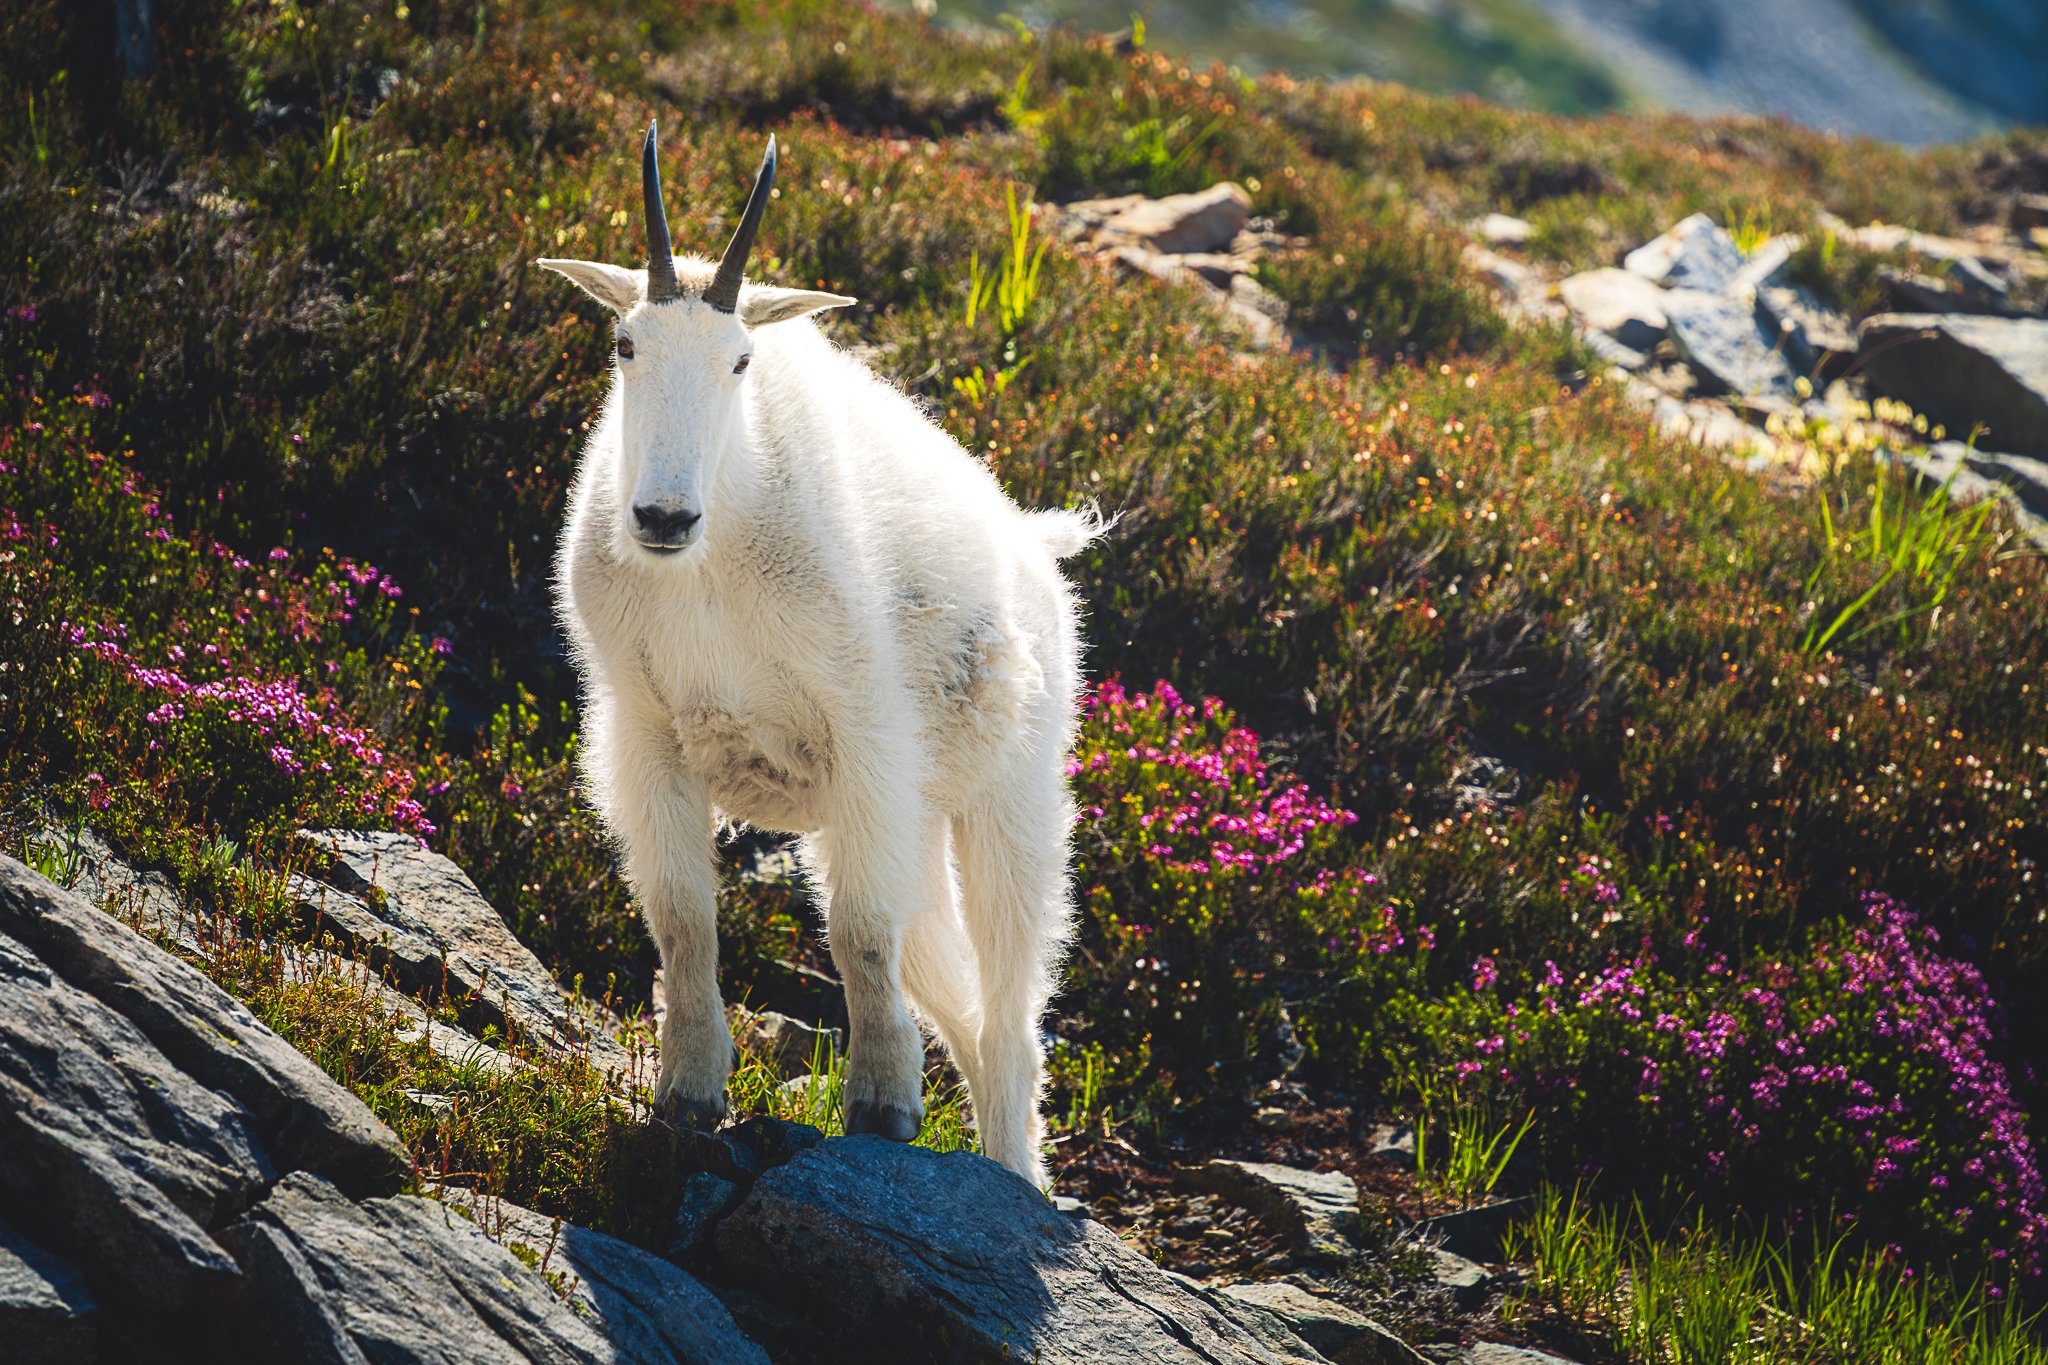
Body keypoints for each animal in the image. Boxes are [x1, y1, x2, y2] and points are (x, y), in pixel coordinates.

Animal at [537, 124, 1097, 1186]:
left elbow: (859, 931)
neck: (713, 564)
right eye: (627, 345)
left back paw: (1013, 1176)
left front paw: (882, 1106)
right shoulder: (647, 728)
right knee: (961, 1000)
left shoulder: (865, 731)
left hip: (1008, 800)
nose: (661, 517)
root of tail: (1038, 548)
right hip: (917, 823)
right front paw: (689, 1091)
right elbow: (683, 913)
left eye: (741, 361)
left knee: (1011, 1010)